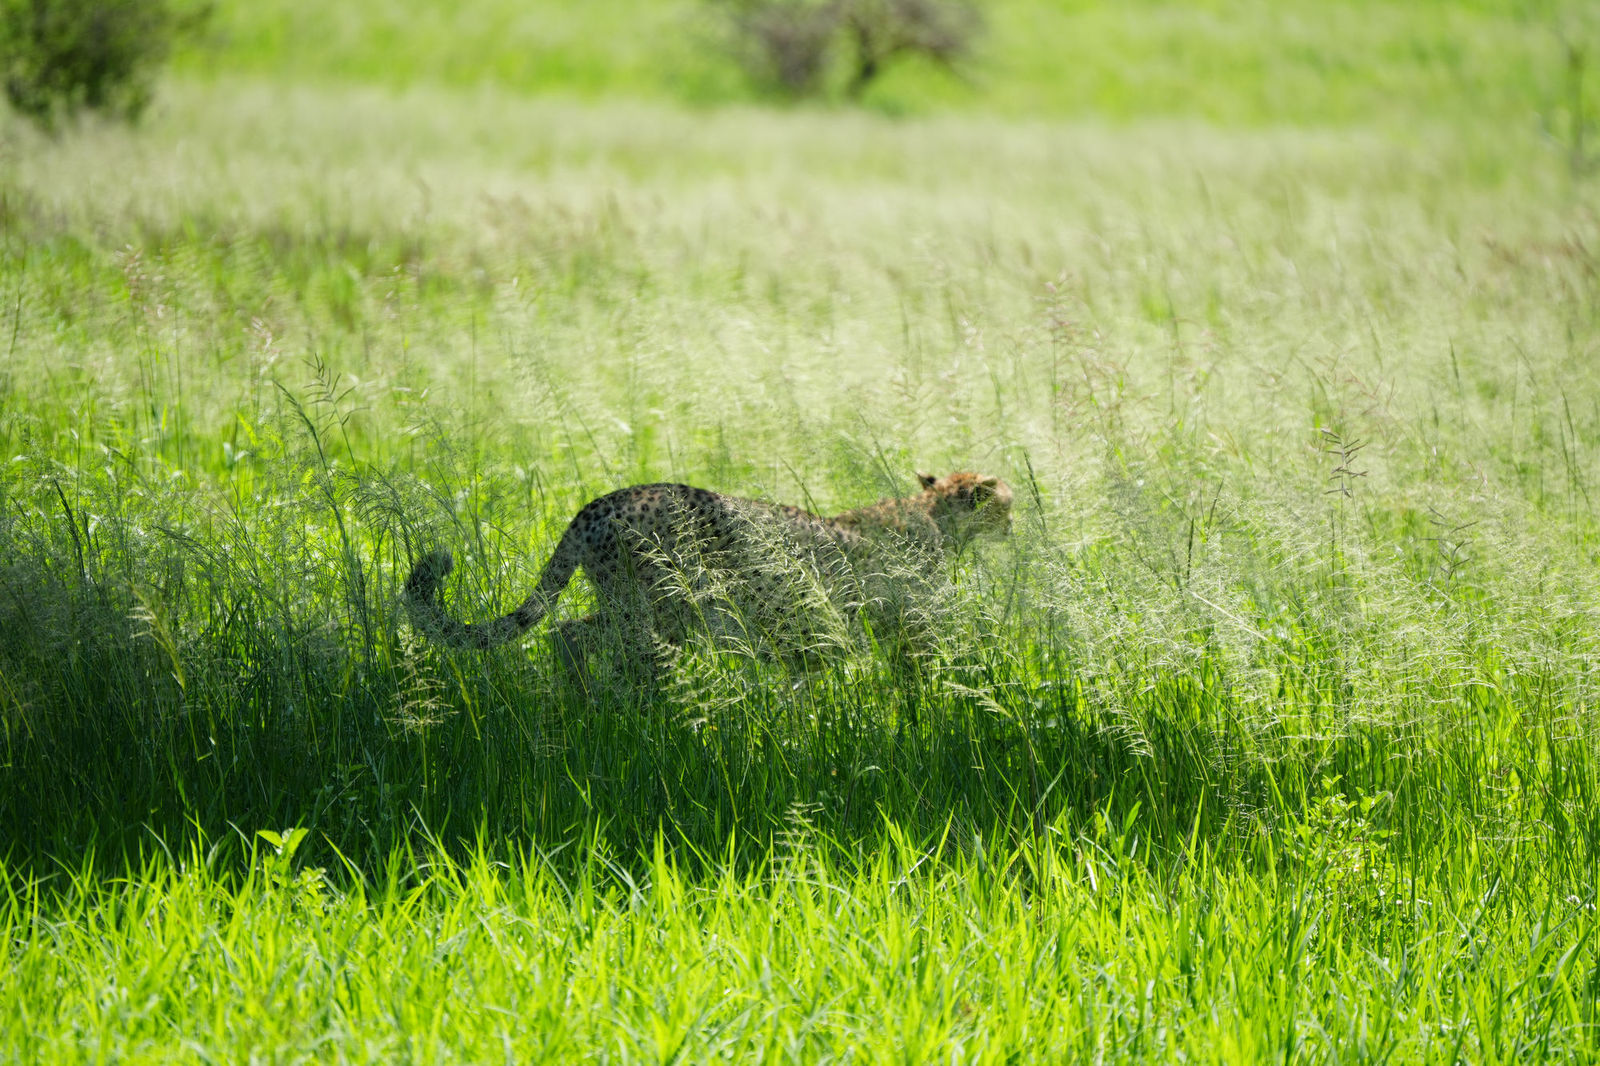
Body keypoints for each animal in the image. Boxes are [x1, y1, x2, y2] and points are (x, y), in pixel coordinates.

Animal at [403, 471, 1013, 680]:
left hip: (647, 610)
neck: (934, 513)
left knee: (566, 634)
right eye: (1003, 501)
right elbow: (920, 673)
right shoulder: (905, 624)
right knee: (580, 639)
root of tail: (600, 502)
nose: (1015, 522)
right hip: (662, 611)